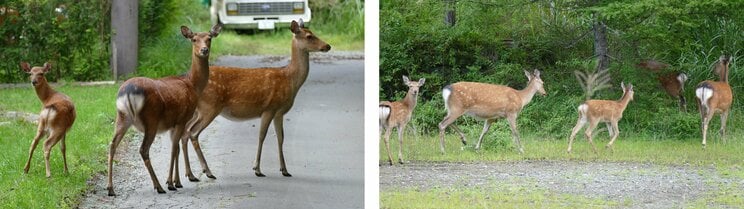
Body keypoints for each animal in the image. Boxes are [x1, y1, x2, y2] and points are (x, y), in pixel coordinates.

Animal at [106, 23, 221, 197]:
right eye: (194, 39)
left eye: (209, 38)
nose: (204, 50)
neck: (192, 85)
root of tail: (127, 92)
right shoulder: (182, 118)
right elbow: (174, 149)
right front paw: (172, 183)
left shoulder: (172, 123)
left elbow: (177, 148)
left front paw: (178, 181)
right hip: (151, 118)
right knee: (143, 149)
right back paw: (159, 186)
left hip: (122, 117)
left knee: (112, 145)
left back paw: (111, 188)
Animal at [177, 18, 328, 180]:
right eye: (309, 36)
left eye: (313, 33)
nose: (328, 46)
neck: (289, 79)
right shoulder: (269, 107)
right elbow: (262, 136)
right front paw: (257, 169)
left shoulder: (279, 112)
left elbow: (280, 137)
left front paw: (285, 170)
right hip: (209, 107)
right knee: (193, 132)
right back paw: (207, 171)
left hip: (197, 110)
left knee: (185, 132)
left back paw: (191, 174)